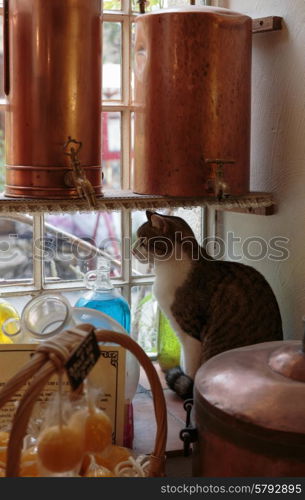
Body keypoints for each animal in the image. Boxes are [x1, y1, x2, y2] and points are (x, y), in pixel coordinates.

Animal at [133, 210, 282, 398]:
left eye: (143, 241)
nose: (132, 250)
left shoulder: (190, 332)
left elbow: (190, 367)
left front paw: (190, 387)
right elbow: (184, 361)